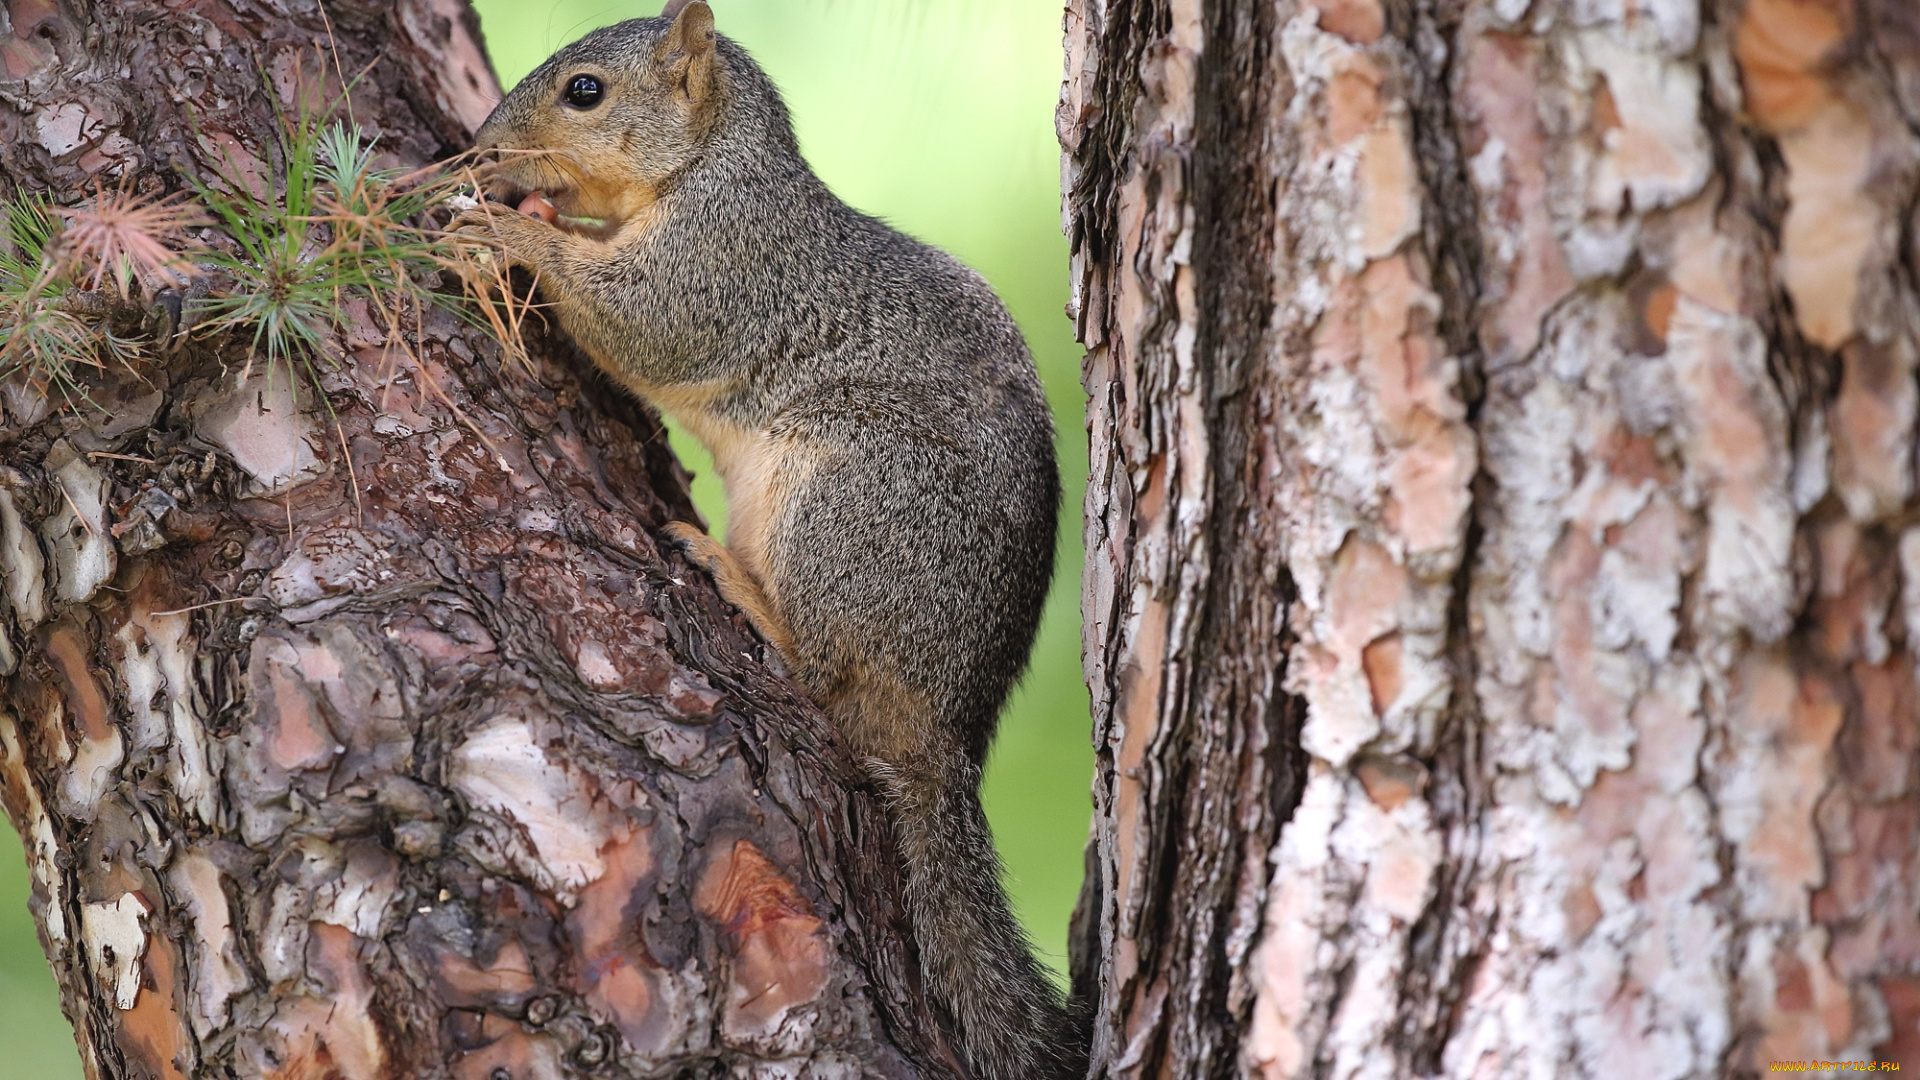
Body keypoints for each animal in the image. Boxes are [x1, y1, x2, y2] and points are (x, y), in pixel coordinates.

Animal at [453, 4, 1082, 1068]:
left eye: (585, 90)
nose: (484, 149)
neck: (711, 166)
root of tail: (946, 731)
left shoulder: (724, 267)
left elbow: (638, 323)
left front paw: (504, 226)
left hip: (849, 499)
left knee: (821, 669)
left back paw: (737, 581)